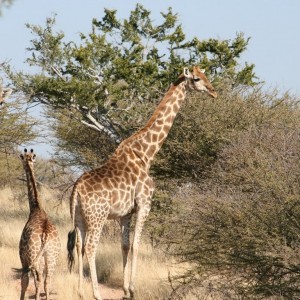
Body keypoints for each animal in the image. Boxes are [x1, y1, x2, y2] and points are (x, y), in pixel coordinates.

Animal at [18, 149, 61, 300]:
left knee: (37, 280)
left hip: (35, 258)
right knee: (47, 281)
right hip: (51, 257)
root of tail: (45, 235)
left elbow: (24, 282)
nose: (26, 163)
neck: (36, 208)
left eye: (22, 158)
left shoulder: (23, 258)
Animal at [67, 66, 218, 300]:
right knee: (90, 247)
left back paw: (81, 292)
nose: (213, 91)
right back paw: (96, 294)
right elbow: (137, 245)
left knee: (78, 245)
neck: (146, 153)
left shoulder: (125, 213)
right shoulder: (144, 204)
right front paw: (133, 289)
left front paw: (125, 290)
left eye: (205, 75)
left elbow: (125, 245)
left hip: (79, 218)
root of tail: (76, 189)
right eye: (196, 79)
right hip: (97, 217)